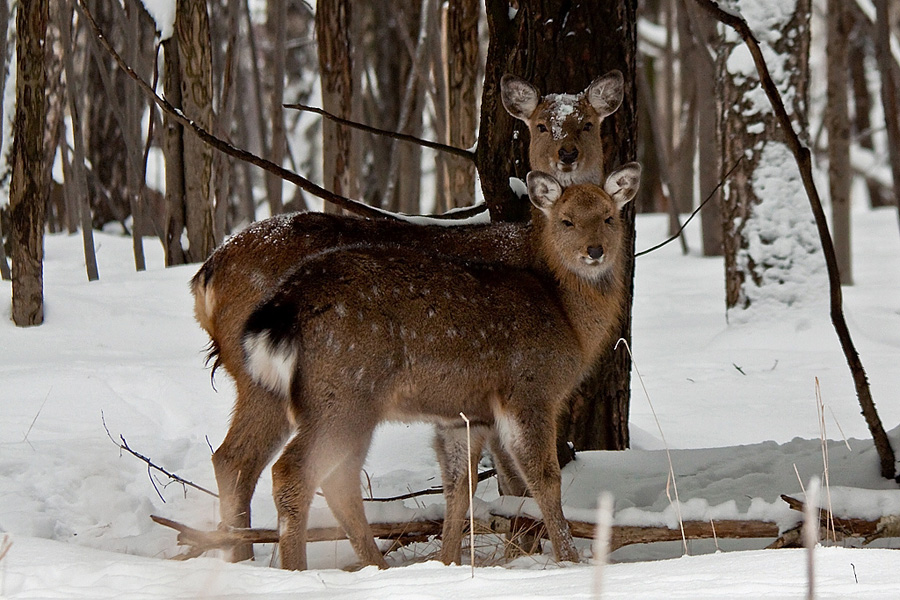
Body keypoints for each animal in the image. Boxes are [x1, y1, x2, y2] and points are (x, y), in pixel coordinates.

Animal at [192, 70, 624, 564]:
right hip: (295, 386)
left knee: (234, 459)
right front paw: (530, 547)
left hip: (266, 383)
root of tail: (206, 275)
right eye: (540, 126)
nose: (566, 155)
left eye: (588, 123)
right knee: (256, 464)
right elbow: (516, 476)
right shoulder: (517, 385)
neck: (534, 256)